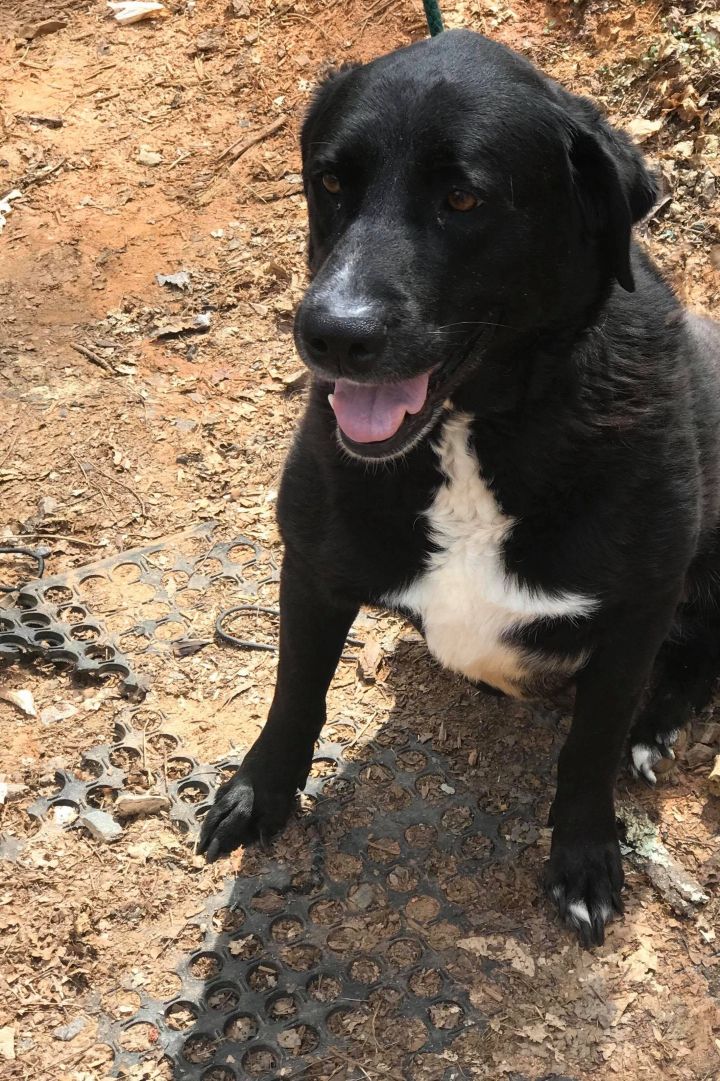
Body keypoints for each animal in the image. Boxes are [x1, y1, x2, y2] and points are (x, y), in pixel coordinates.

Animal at [198, 31, 717, 946]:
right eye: (330, 182)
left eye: (464, 198)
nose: (330, 333)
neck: (472, 429)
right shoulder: (312, 562)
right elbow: (294, 689)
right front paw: (259, 793)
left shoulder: (639, 605)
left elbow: (591, 742)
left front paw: (585, 854)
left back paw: (658, 725)